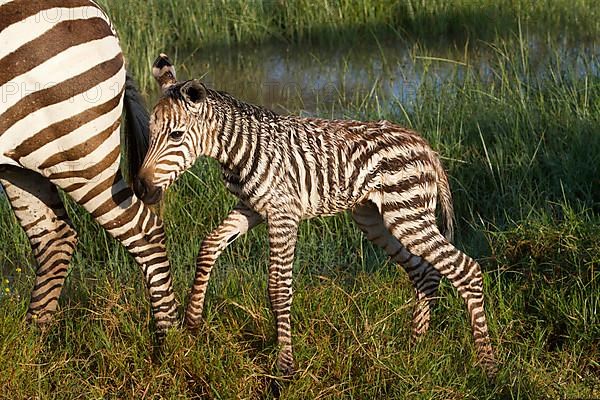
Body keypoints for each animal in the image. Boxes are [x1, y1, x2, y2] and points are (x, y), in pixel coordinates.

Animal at [0, 0, 177, 334]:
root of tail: (101, 13)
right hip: (24, 157)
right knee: (53, 237)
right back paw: (32, 340)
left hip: (78, 152)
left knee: (145, 230)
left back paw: (168, 338)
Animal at [136, 53, 496, 376]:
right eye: (150, 133)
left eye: (176, 135)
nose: (141, 188)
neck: (240, 151)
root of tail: (424, 145)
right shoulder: (252, 208)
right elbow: (209, 246)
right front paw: (193, 321)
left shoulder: (283, 214)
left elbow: (278, 289)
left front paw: (285, 367)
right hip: (376, 219)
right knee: (425, 271)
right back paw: (415, 346)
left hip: (406, 214)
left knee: (465, 269)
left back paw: (487, 365)